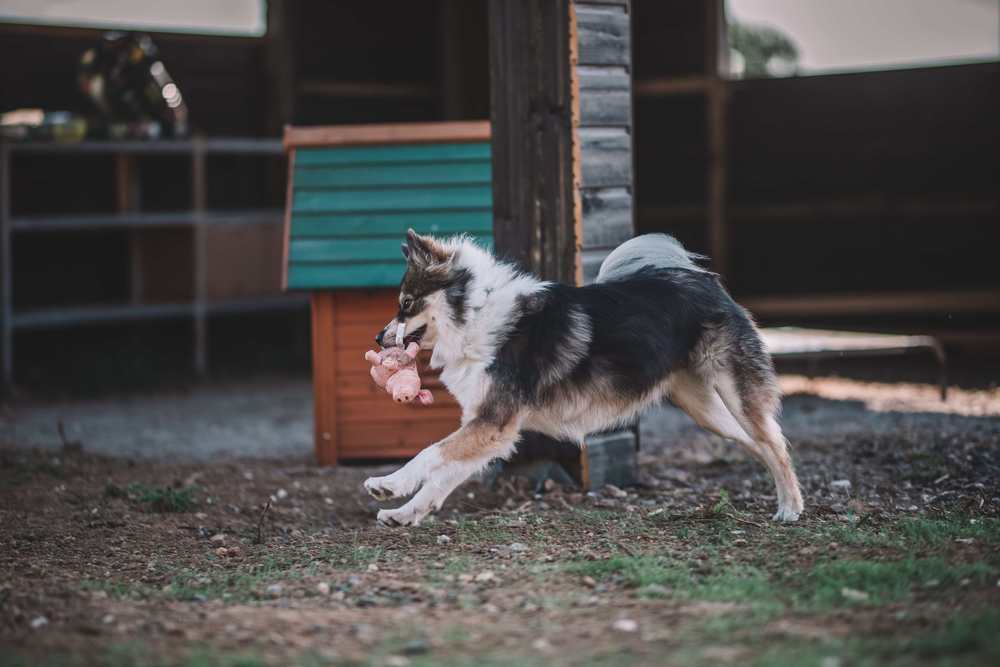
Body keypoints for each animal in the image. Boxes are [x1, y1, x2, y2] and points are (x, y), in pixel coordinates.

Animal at [364, 231, 800, 528]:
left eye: (405, 304)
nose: (377, 339)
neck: (476, 313)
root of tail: (705, 281)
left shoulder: (492, 423)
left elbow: (429, 455)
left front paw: (388, 484)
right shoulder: (491, 430)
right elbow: (442, 477)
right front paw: (405, 512)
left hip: (735, 391)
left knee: (775, 443)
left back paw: (790, 508)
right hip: (705, 409)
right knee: (757, 442)